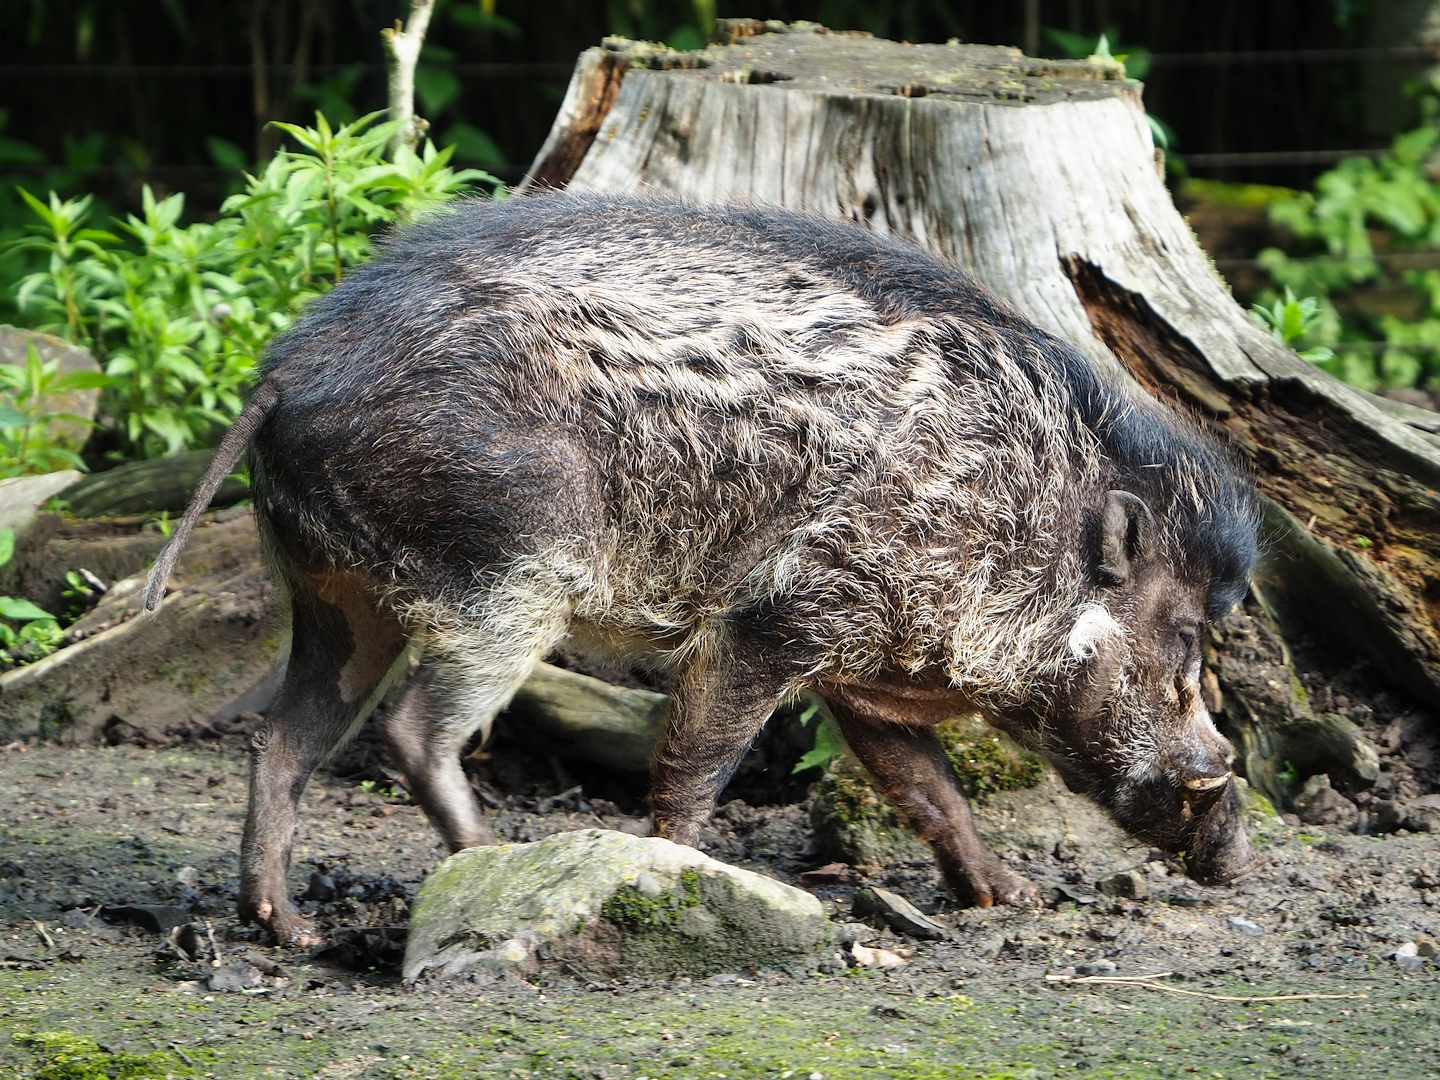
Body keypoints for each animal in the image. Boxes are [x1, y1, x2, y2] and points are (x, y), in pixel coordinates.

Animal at [146, 192, 1259, 944]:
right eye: (1184, 642)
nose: (1235, 850)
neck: (1011, 516)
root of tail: (288, 371)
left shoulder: (866, 668)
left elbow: (929, 790)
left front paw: (1011, 899)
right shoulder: (774, 617)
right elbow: (698, 759)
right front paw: (684, 871)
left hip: (338, 595)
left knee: (284, 743)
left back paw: (290, 928)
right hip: (509, 573)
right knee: (412, 732)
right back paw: (493, 860)